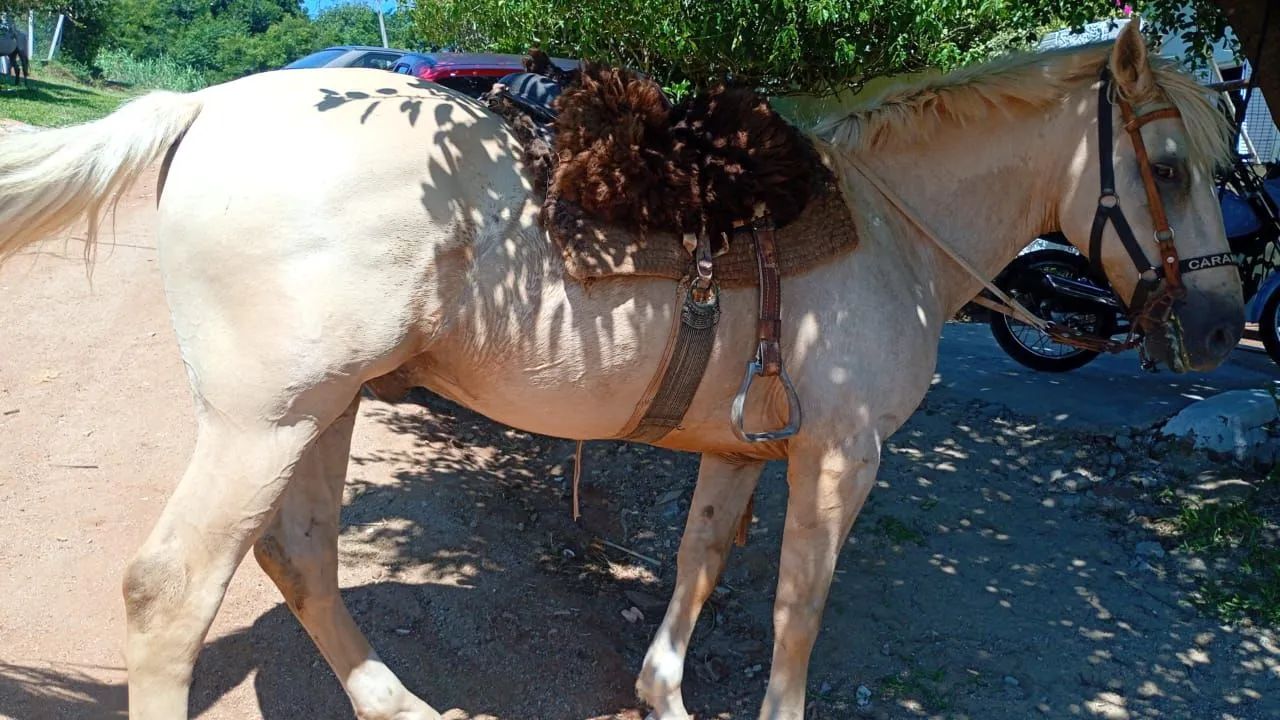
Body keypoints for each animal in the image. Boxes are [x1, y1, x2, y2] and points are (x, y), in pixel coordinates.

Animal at [0, 21, 1243, 720]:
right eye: (1168, 164)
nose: (1220, 330)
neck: (889, 226)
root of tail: (203, 108)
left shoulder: (745, 443)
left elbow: (699, 561)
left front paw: (662, 695)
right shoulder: (840, 457)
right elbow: (796, 607)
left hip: (323, 409)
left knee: (298, 555)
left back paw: (400, 705)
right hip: (263, 419)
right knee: (170, 592)